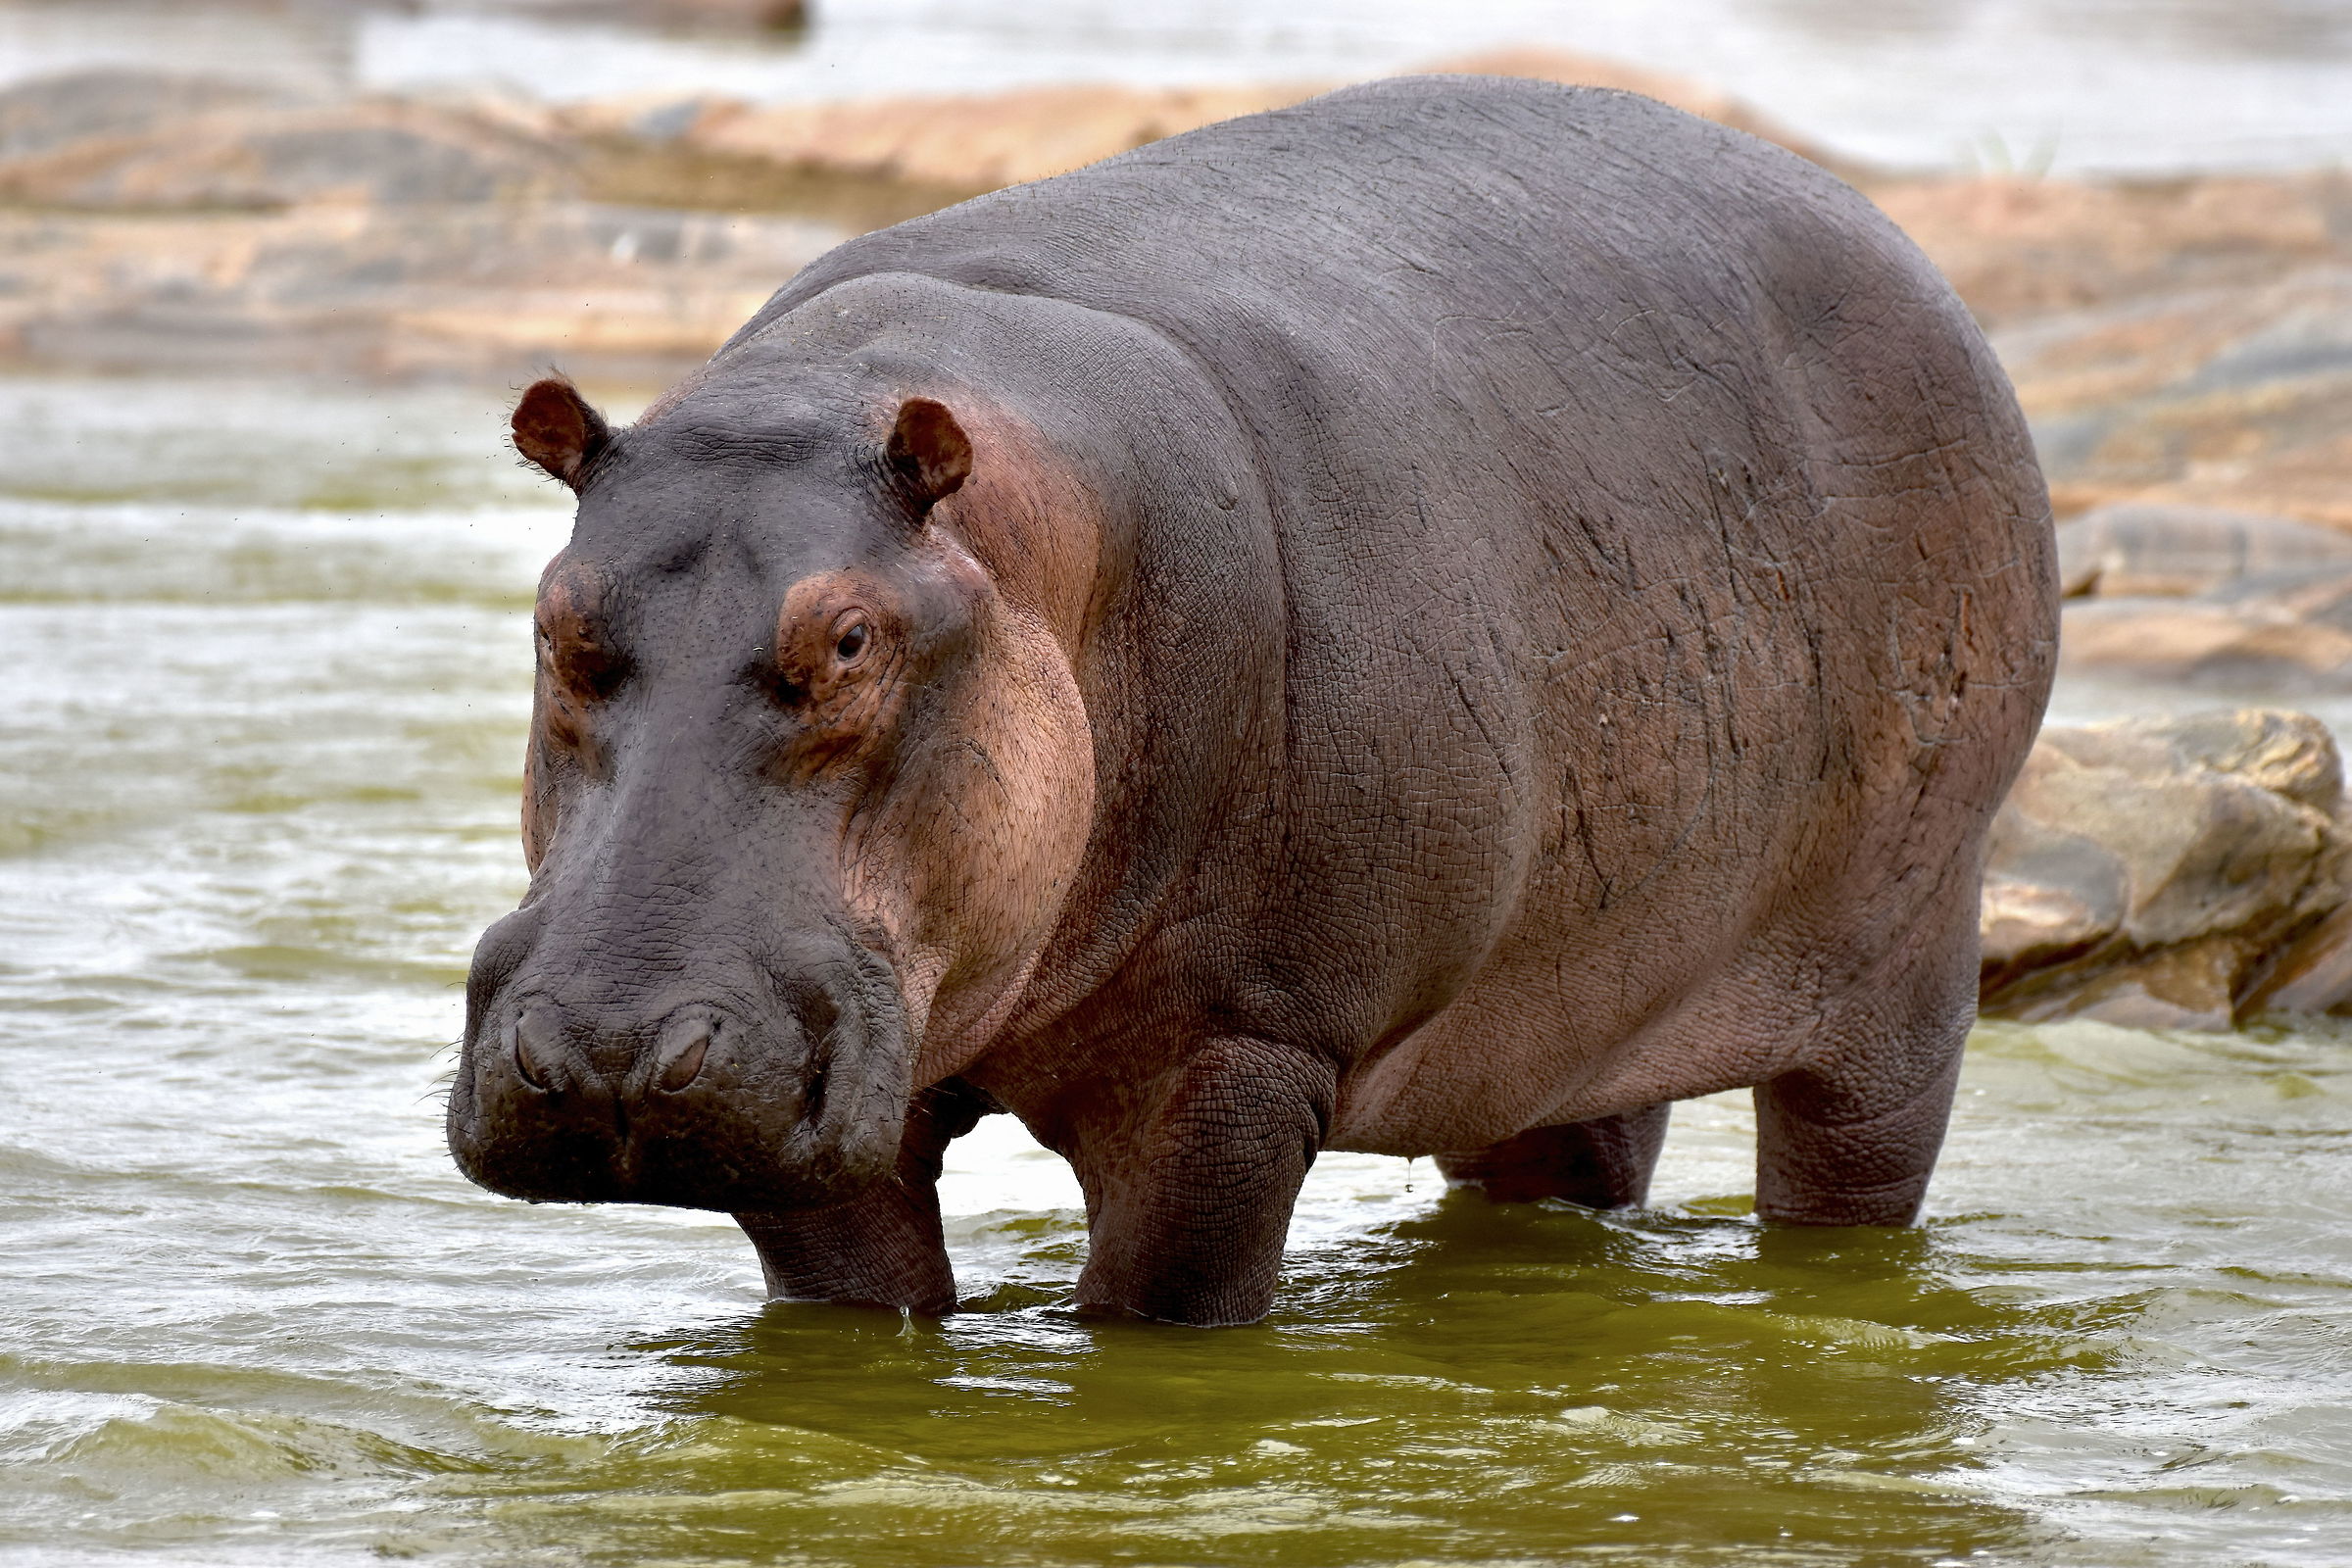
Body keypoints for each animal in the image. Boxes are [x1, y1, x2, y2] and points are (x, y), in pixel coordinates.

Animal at [446, 75, 2058, 1326]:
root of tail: (1885, 233)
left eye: (850, 640)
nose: (606, 1054)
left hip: (1905, 958)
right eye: (556, 620)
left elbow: (1164, 1309)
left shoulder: (1245, 1053)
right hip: (1582, 989)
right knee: (1572, 1159)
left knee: (1856, 1168)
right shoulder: (833, 1106)